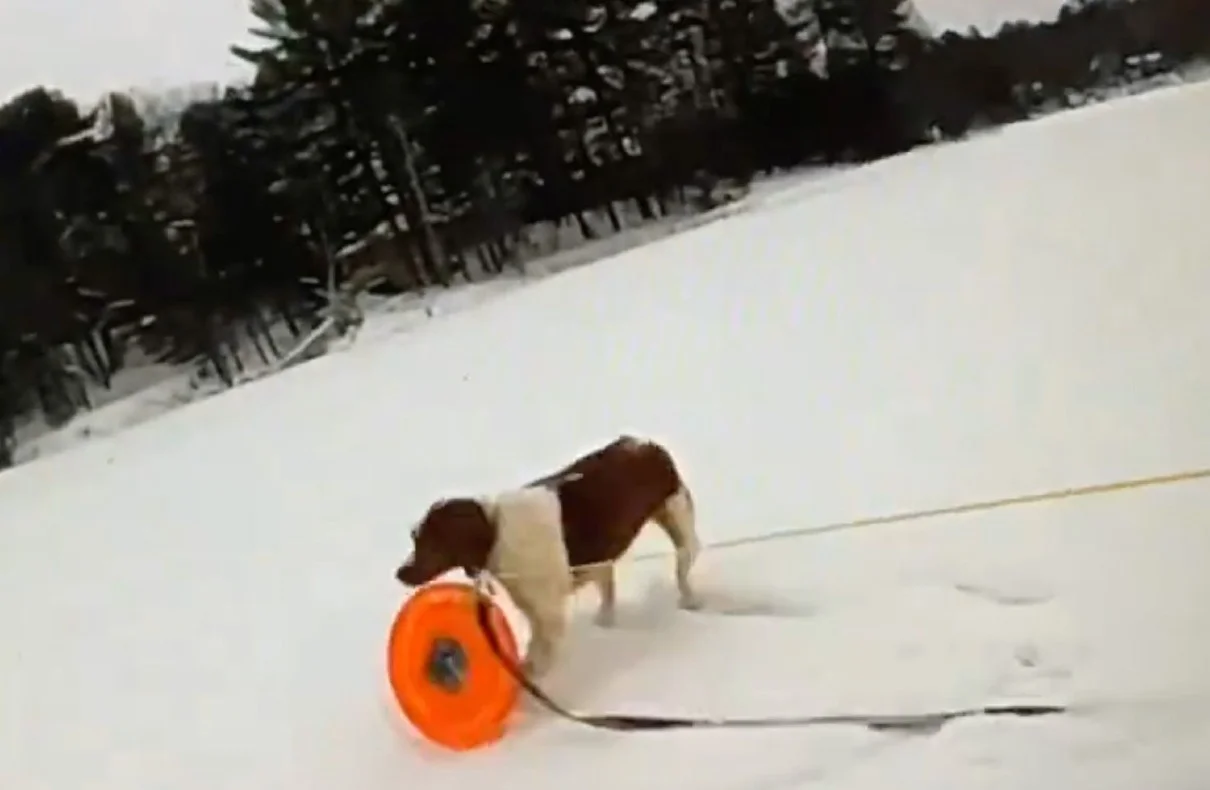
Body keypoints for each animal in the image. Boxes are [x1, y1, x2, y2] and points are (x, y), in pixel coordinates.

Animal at [392, 435, 706, 672]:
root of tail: (645, 443)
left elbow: (538, 661)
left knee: (682, 575)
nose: (399, 573)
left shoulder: (549, 614)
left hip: (684, 534)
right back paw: (605, 621)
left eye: (433, 541)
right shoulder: (535, 610)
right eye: (414, 537)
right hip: (601, 561)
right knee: (608, 589)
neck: (497, 529)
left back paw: (690, 601)